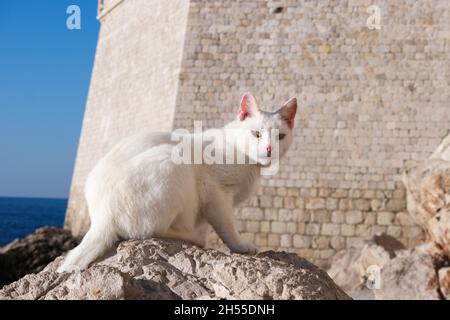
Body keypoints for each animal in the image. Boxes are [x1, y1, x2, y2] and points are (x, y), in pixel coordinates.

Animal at [58, 93, 298, 272]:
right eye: (256, 134)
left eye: (280, 137)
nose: (269, 149)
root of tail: (101, 217)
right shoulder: (214, 191)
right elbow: (227, 225)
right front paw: (240, 246)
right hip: (173, 161)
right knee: (148, 231)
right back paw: (193, 236)